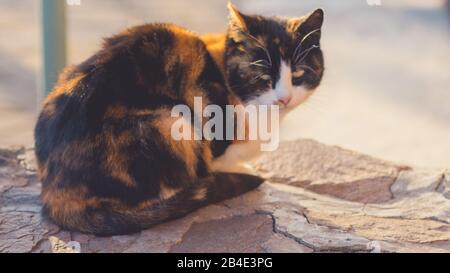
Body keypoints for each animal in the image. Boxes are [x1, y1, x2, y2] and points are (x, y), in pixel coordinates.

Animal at [35, 3, 324, 235]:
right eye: (263, 76)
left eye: (299, 74)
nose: (285, 98)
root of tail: (53, 193)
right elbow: (217, 158)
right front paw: (239, 168)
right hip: (172, 121)